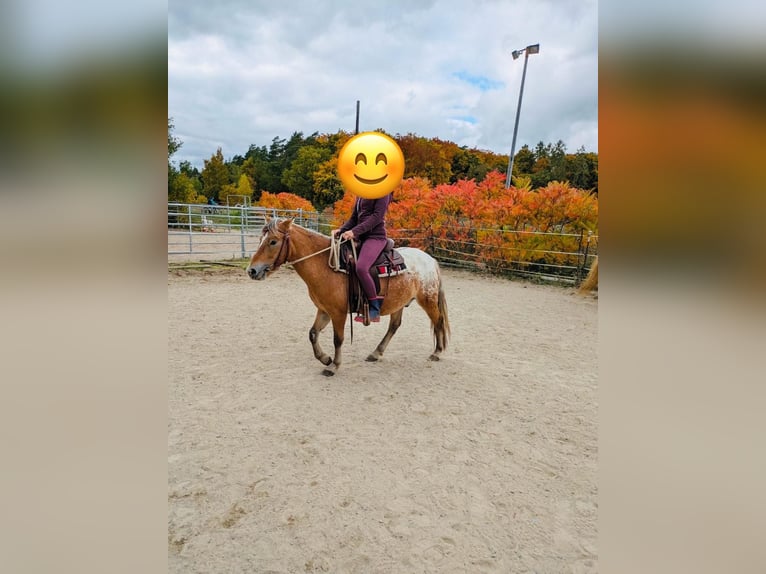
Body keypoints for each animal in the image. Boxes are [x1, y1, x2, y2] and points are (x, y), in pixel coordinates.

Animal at [246, 218, 450, 376]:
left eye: (273, 241)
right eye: (260, 239)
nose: (252, 271)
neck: (326, 265)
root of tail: (430, 259)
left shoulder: (338, 313)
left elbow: (338, 339)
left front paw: (334, 366)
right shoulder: (324, 310)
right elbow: (312, 334)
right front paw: (325, 358)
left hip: (428, 301)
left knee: (438, 321)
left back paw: (437, 352)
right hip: (398, 303)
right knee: (394, 326)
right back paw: (376, 353)